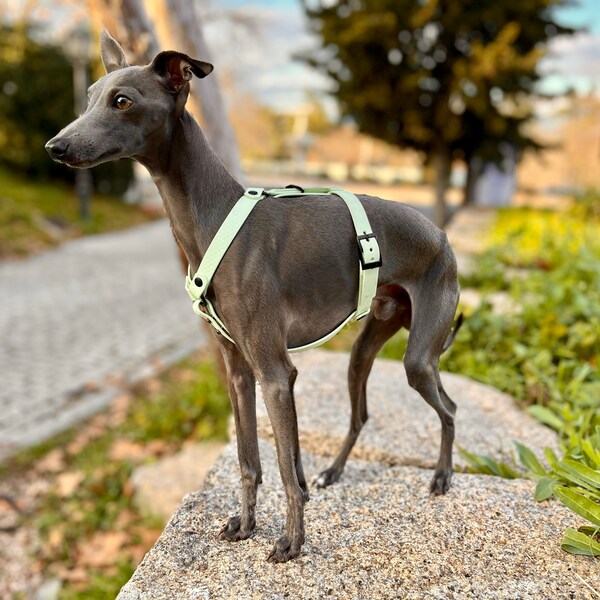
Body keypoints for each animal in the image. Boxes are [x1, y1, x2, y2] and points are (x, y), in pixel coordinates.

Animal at [47, 30, 462, 560]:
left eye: (123, 101)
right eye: (88, 98)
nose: (55, 147)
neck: (214, 218)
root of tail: (441, 235)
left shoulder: (275, 373)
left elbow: (285, 468)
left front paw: (292, 542)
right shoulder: (238, 371)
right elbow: (249, 461)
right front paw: (245, 526)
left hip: (419, 357)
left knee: (448, 408)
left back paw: (442, 477)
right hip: (365, 347)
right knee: (360, 413)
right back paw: (333, 472)